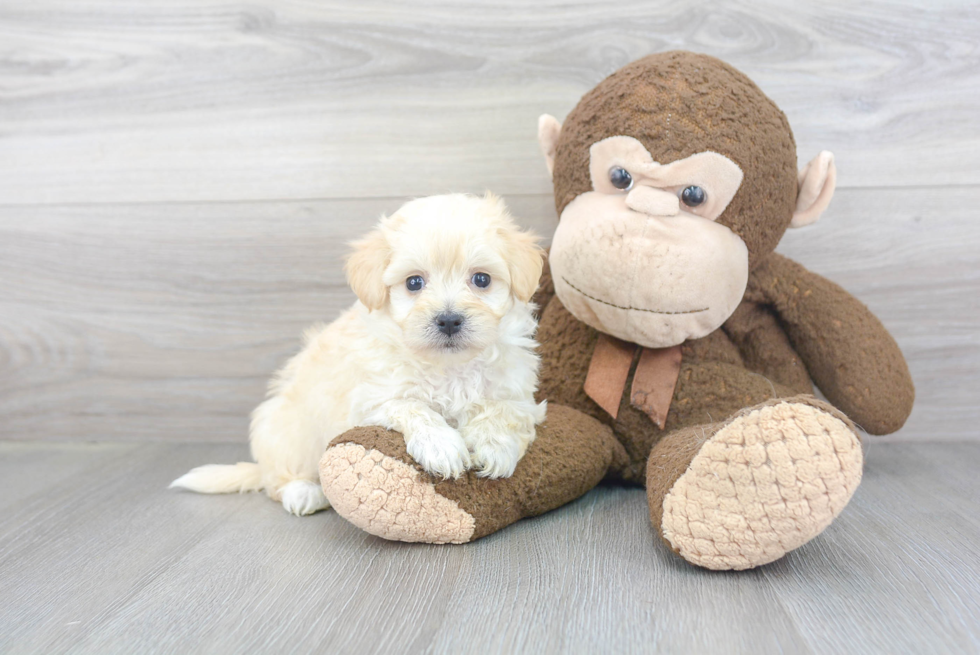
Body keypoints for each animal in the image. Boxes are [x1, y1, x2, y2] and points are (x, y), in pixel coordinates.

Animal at [171, 192, 548, 516]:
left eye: (482, 279)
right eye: (414, 283)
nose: (449, 319)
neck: (448, 367)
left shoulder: (517, 393)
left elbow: (504, 411)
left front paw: (495, 447)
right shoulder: (370, 400)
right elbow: (411, 407)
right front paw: (441, 445)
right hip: (289, 431)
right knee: (277, 479)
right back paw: (303, 491)